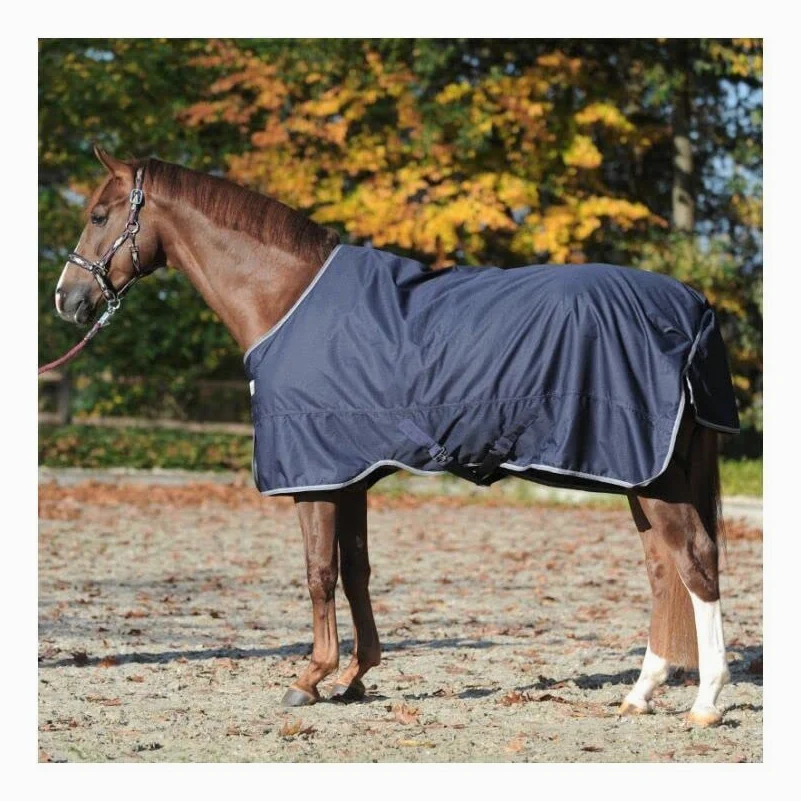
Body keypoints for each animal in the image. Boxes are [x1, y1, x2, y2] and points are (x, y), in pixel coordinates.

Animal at [51, 145, 734, 726]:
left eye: (99, 215)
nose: (67, 299)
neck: (288, 298)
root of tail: (693, 306)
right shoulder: (350, 473)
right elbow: (357, 570)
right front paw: (355, 675)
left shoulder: (315, 477)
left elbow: (319, 572)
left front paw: (310, 678)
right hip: (641, 475)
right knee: (662, 570)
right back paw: (641, 693)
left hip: (654, 477)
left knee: (695, 560)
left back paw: (704, 702)